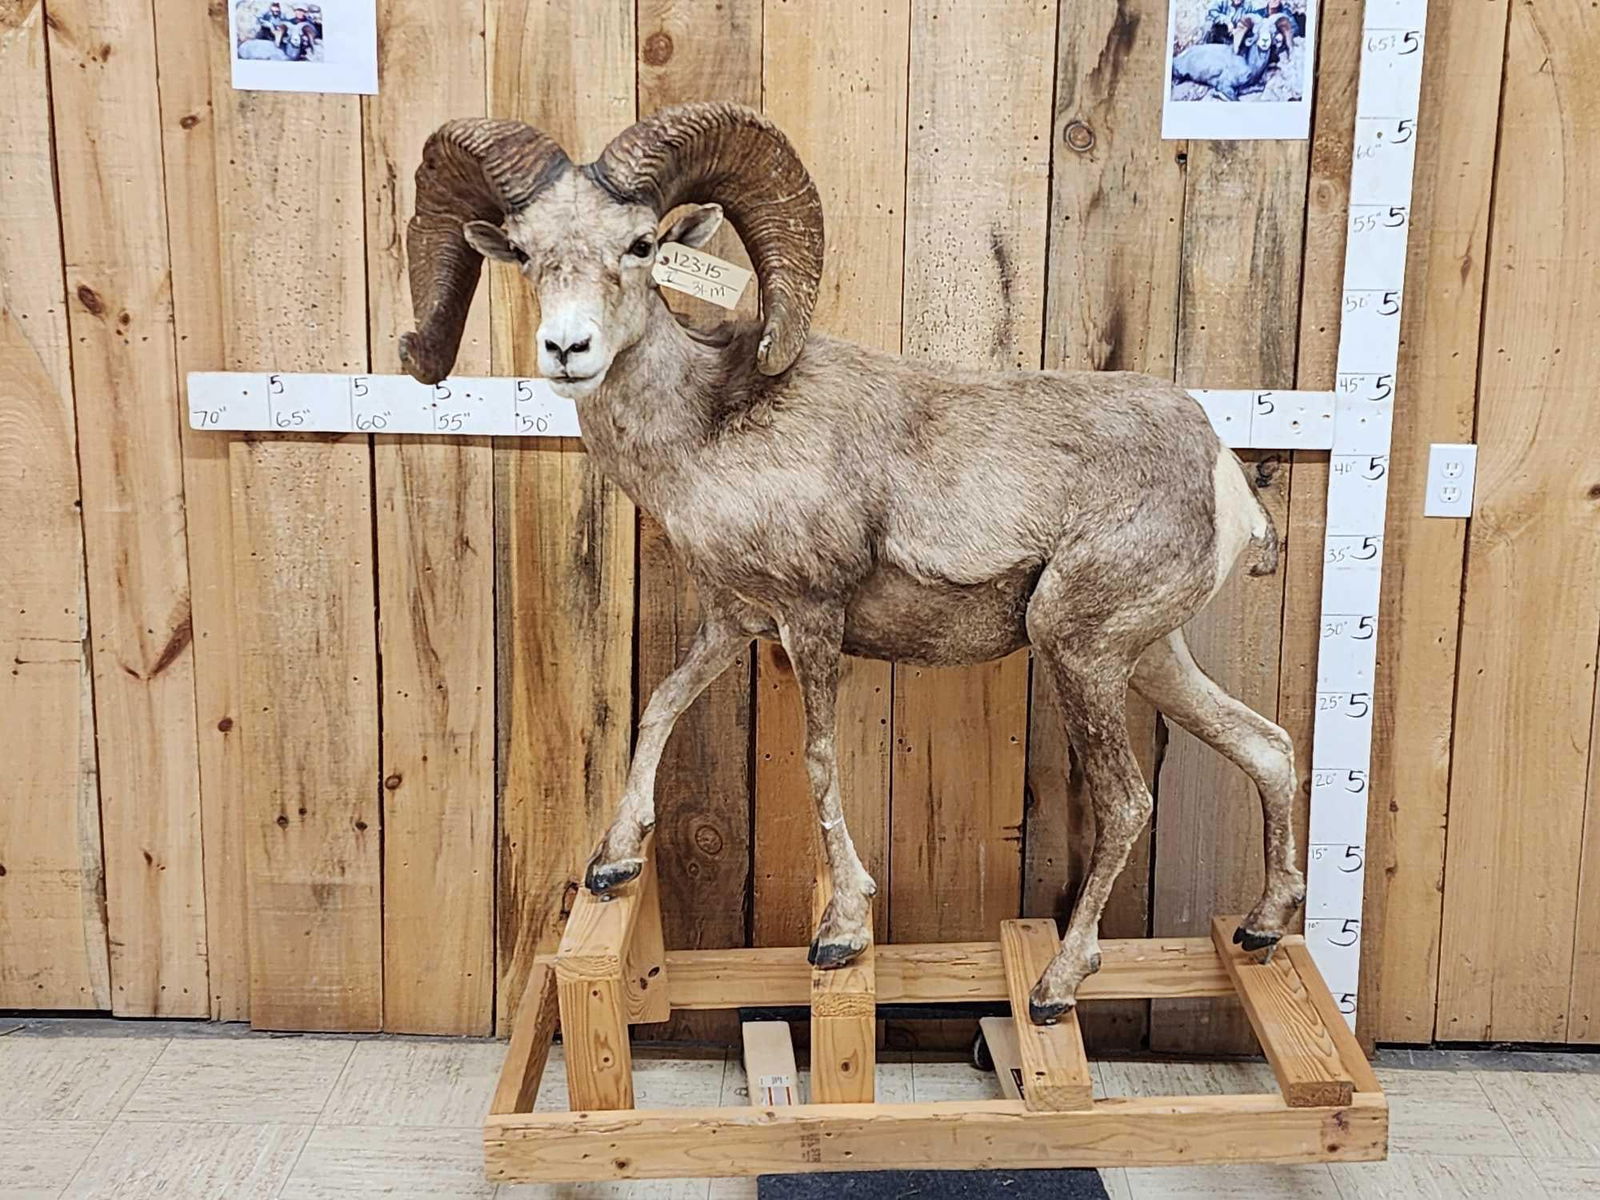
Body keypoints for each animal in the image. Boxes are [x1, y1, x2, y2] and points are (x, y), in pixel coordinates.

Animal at [400, 102, 1302, 1023]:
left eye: (642, 243)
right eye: (525, 251)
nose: (567, 349)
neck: (704, 436)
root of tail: (1223, 473)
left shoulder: (812, 619)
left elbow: (819, 761)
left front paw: (841, 933)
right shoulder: (732, 622)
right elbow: (658, 707)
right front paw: (612, 863)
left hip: (1078, 650)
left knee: (1126, 803)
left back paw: (1056, 986)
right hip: (1149, 656)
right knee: (1268, 747)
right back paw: (1262, 929)